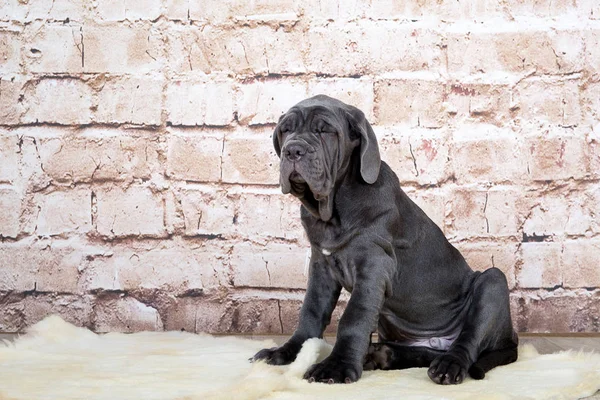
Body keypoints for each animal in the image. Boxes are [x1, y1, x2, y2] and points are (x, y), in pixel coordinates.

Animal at [251, 95, 516, 386]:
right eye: (285, 130)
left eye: (325, 131)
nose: (293, 150)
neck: (333, 211)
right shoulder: (321, 266)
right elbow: (310, 311)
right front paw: (288, 352)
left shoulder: (374, 266)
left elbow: (353, 317)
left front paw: (336, 367)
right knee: (425, 354)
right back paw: (382, 355)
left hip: (492, 282)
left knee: (468, 340)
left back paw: (448, 364)